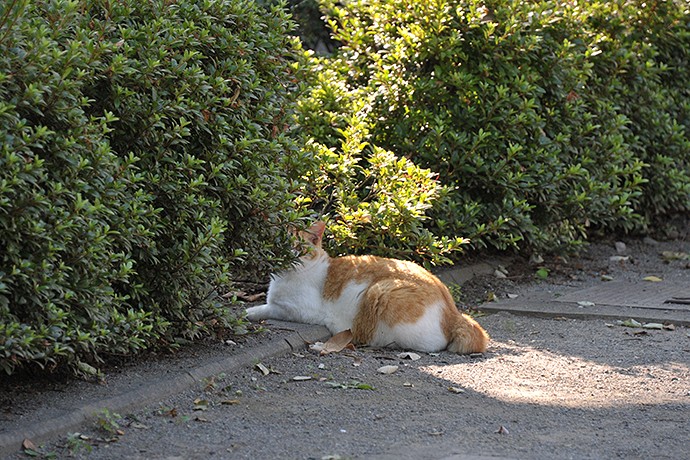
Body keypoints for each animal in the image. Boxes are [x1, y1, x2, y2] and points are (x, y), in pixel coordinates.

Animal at [245, 221, 486, 354]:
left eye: (298, 247)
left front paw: (248, 312)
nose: (288, 255)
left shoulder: (299, 310)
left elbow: (267, 308)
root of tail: (455, 313)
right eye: (280, 243)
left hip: (380, 292)